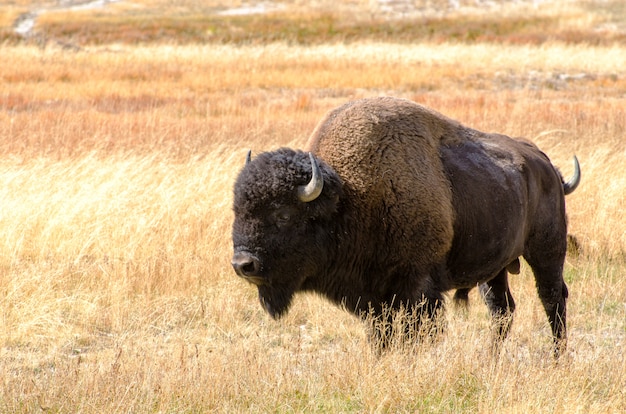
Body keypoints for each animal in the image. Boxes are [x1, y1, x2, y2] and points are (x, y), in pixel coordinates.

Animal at [232, 96, 576, 356]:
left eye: (283, 215)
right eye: (237, 210)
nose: (243, 264)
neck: (349, 197)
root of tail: (545, 164)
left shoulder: (418, 287)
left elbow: (415, 333)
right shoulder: (375, 297)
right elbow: (381, 334)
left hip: (547, 252)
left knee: (552, 299)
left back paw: (557, 359)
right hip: (496, 268)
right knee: (502, 310)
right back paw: (491, 360)